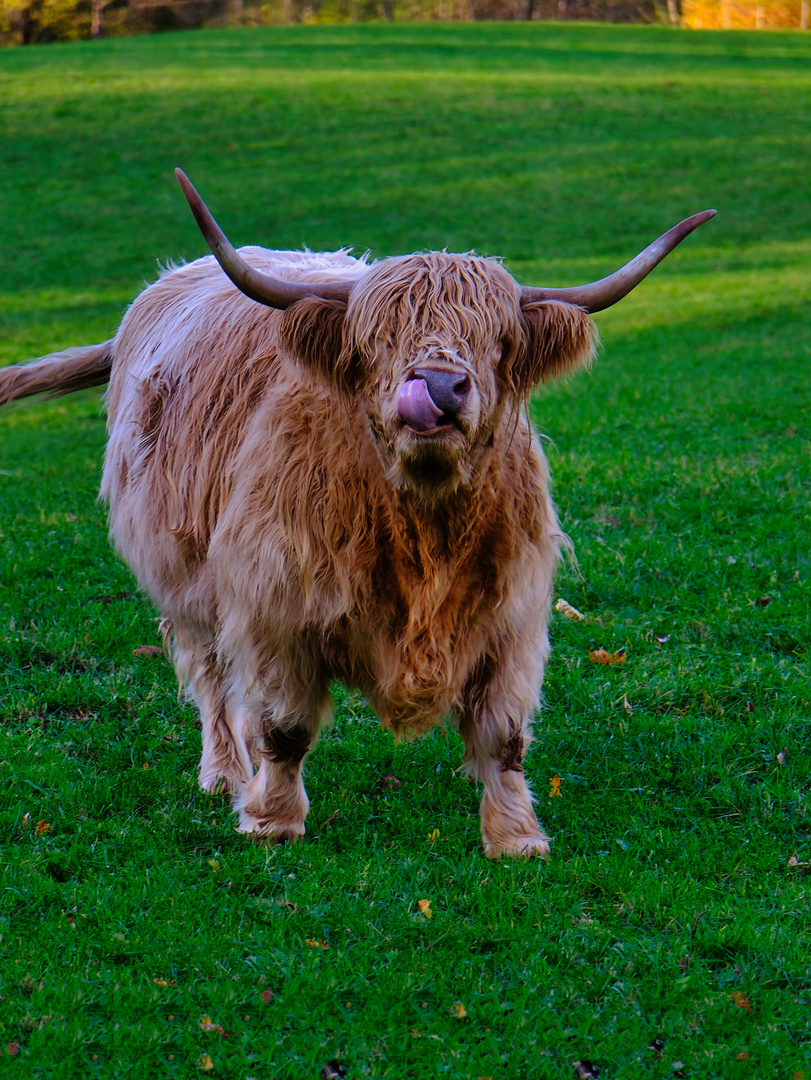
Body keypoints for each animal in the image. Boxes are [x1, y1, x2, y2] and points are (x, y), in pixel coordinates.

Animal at [0, 168, 712, 855]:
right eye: (377, 339)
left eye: (500, 341)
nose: (440, 387)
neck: (424, 529)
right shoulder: (276, 600)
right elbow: (284, 726)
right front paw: (272, 821)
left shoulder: (512, 610)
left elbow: (502, 734)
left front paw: (517, 838)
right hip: (182, 577)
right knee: (210, 676)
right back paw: (224, 774)